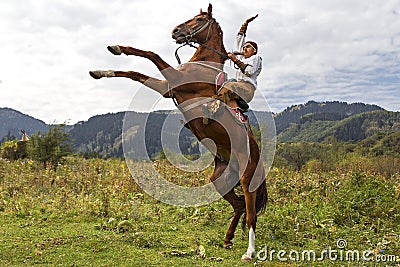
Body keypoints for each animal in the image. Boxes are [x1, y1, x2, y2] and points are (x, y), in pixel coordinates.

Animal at [89, 3, 268, 262]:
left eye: (200, 19)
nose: (175, 31)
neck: (204, 63)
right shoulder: (167, 87)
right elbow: (134, 72)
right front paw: (103, 66)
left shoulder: (173, 78)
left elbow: (151, 54)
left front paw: (116, 51)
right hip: (221, 180)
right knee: (239, 206)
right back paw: (227, 239)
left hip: (247, 177)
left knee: (251, 212)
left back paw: (249, 252)